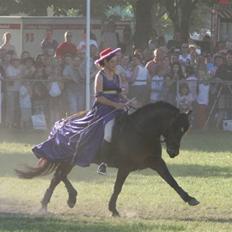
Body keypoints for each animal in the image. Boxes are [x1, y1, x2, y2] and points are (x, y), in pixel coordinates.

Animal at [15, 101, 199, 216]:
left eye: (184, 130)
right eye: (175, 127)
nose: (173, 152)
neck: (141, 131)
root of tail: (64, 121)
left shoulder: (155, 162)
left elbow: (171, 180)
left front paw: (190, 199)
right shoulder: (125, 167)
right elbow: (118, 187)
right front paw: (113, 210)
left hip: (70, 159)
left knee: (59, 176)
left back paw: (68, 198)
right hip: (69, 159)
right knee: (58, 177)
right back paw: (47, 204)